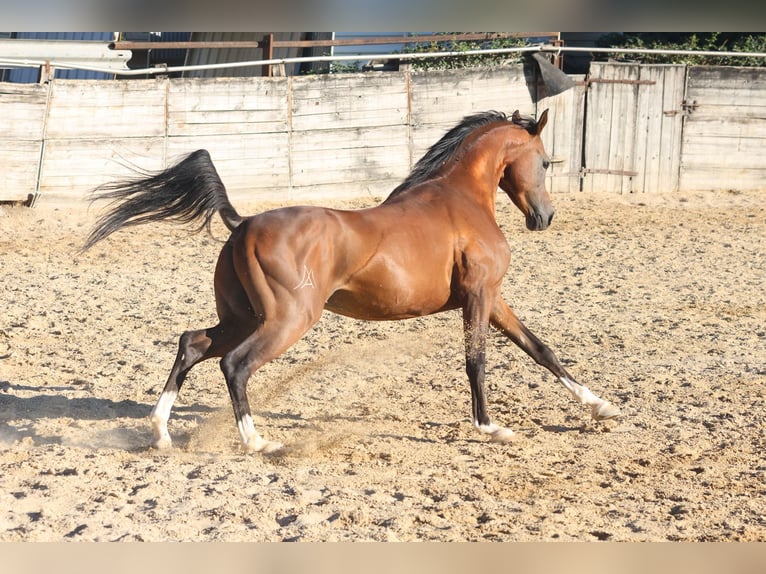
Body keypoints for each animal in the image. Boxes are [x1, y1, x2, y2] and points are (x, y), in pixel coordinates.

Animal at [84, 109, 620, 454]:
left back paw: (160, 432)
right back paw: (259, 441)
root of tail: (244, 224)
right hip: (288, 320)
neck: (461, 198)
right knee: (234, 364)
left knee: (192, 343)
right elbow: (477, 362)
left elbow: (541, 350)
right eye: (545, 162)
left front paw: (602, 408)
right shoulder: (479, 296)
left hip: (243, 317)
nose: (544, 217)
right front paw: (491, 428)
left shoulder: (494, 298)